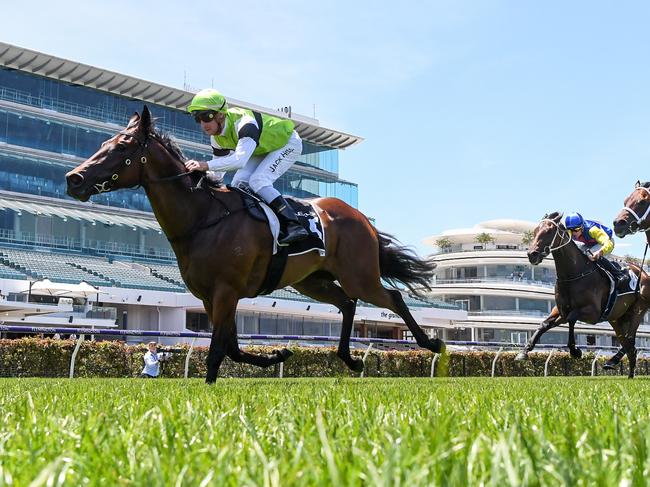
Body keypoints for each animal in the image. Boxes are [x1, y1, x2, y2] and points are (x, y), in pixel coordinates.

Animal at [64, 107, 440, 386]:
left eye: (121, 148)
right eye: (104, 142)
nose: (74, 178)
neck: (203, 218)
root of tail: (360, 218)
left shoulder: (226, 290)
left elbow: (219, 347)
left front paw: (209, 385)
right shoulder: (210, 296)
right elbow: (231, 346)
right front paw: (278, 354)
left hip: (358, 275)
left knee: (392, 298)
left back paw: (431, 342)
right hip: (312, 281)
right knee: (348, 304)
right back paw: (350, 360)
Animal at [512, 213, 644, 378]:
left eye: (549, 231)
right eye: (535, 230)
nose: (532, 255)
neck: (573, 274)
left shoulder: (593, 313)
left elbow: (571, 319)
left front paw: (575, 351)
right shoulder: (560, 310)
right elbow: (544, 325)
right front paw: (523, 352)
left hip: (637, 311)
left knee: (630, 342)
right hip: (616, 318)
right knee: (630, 346)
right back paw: (624, 371)